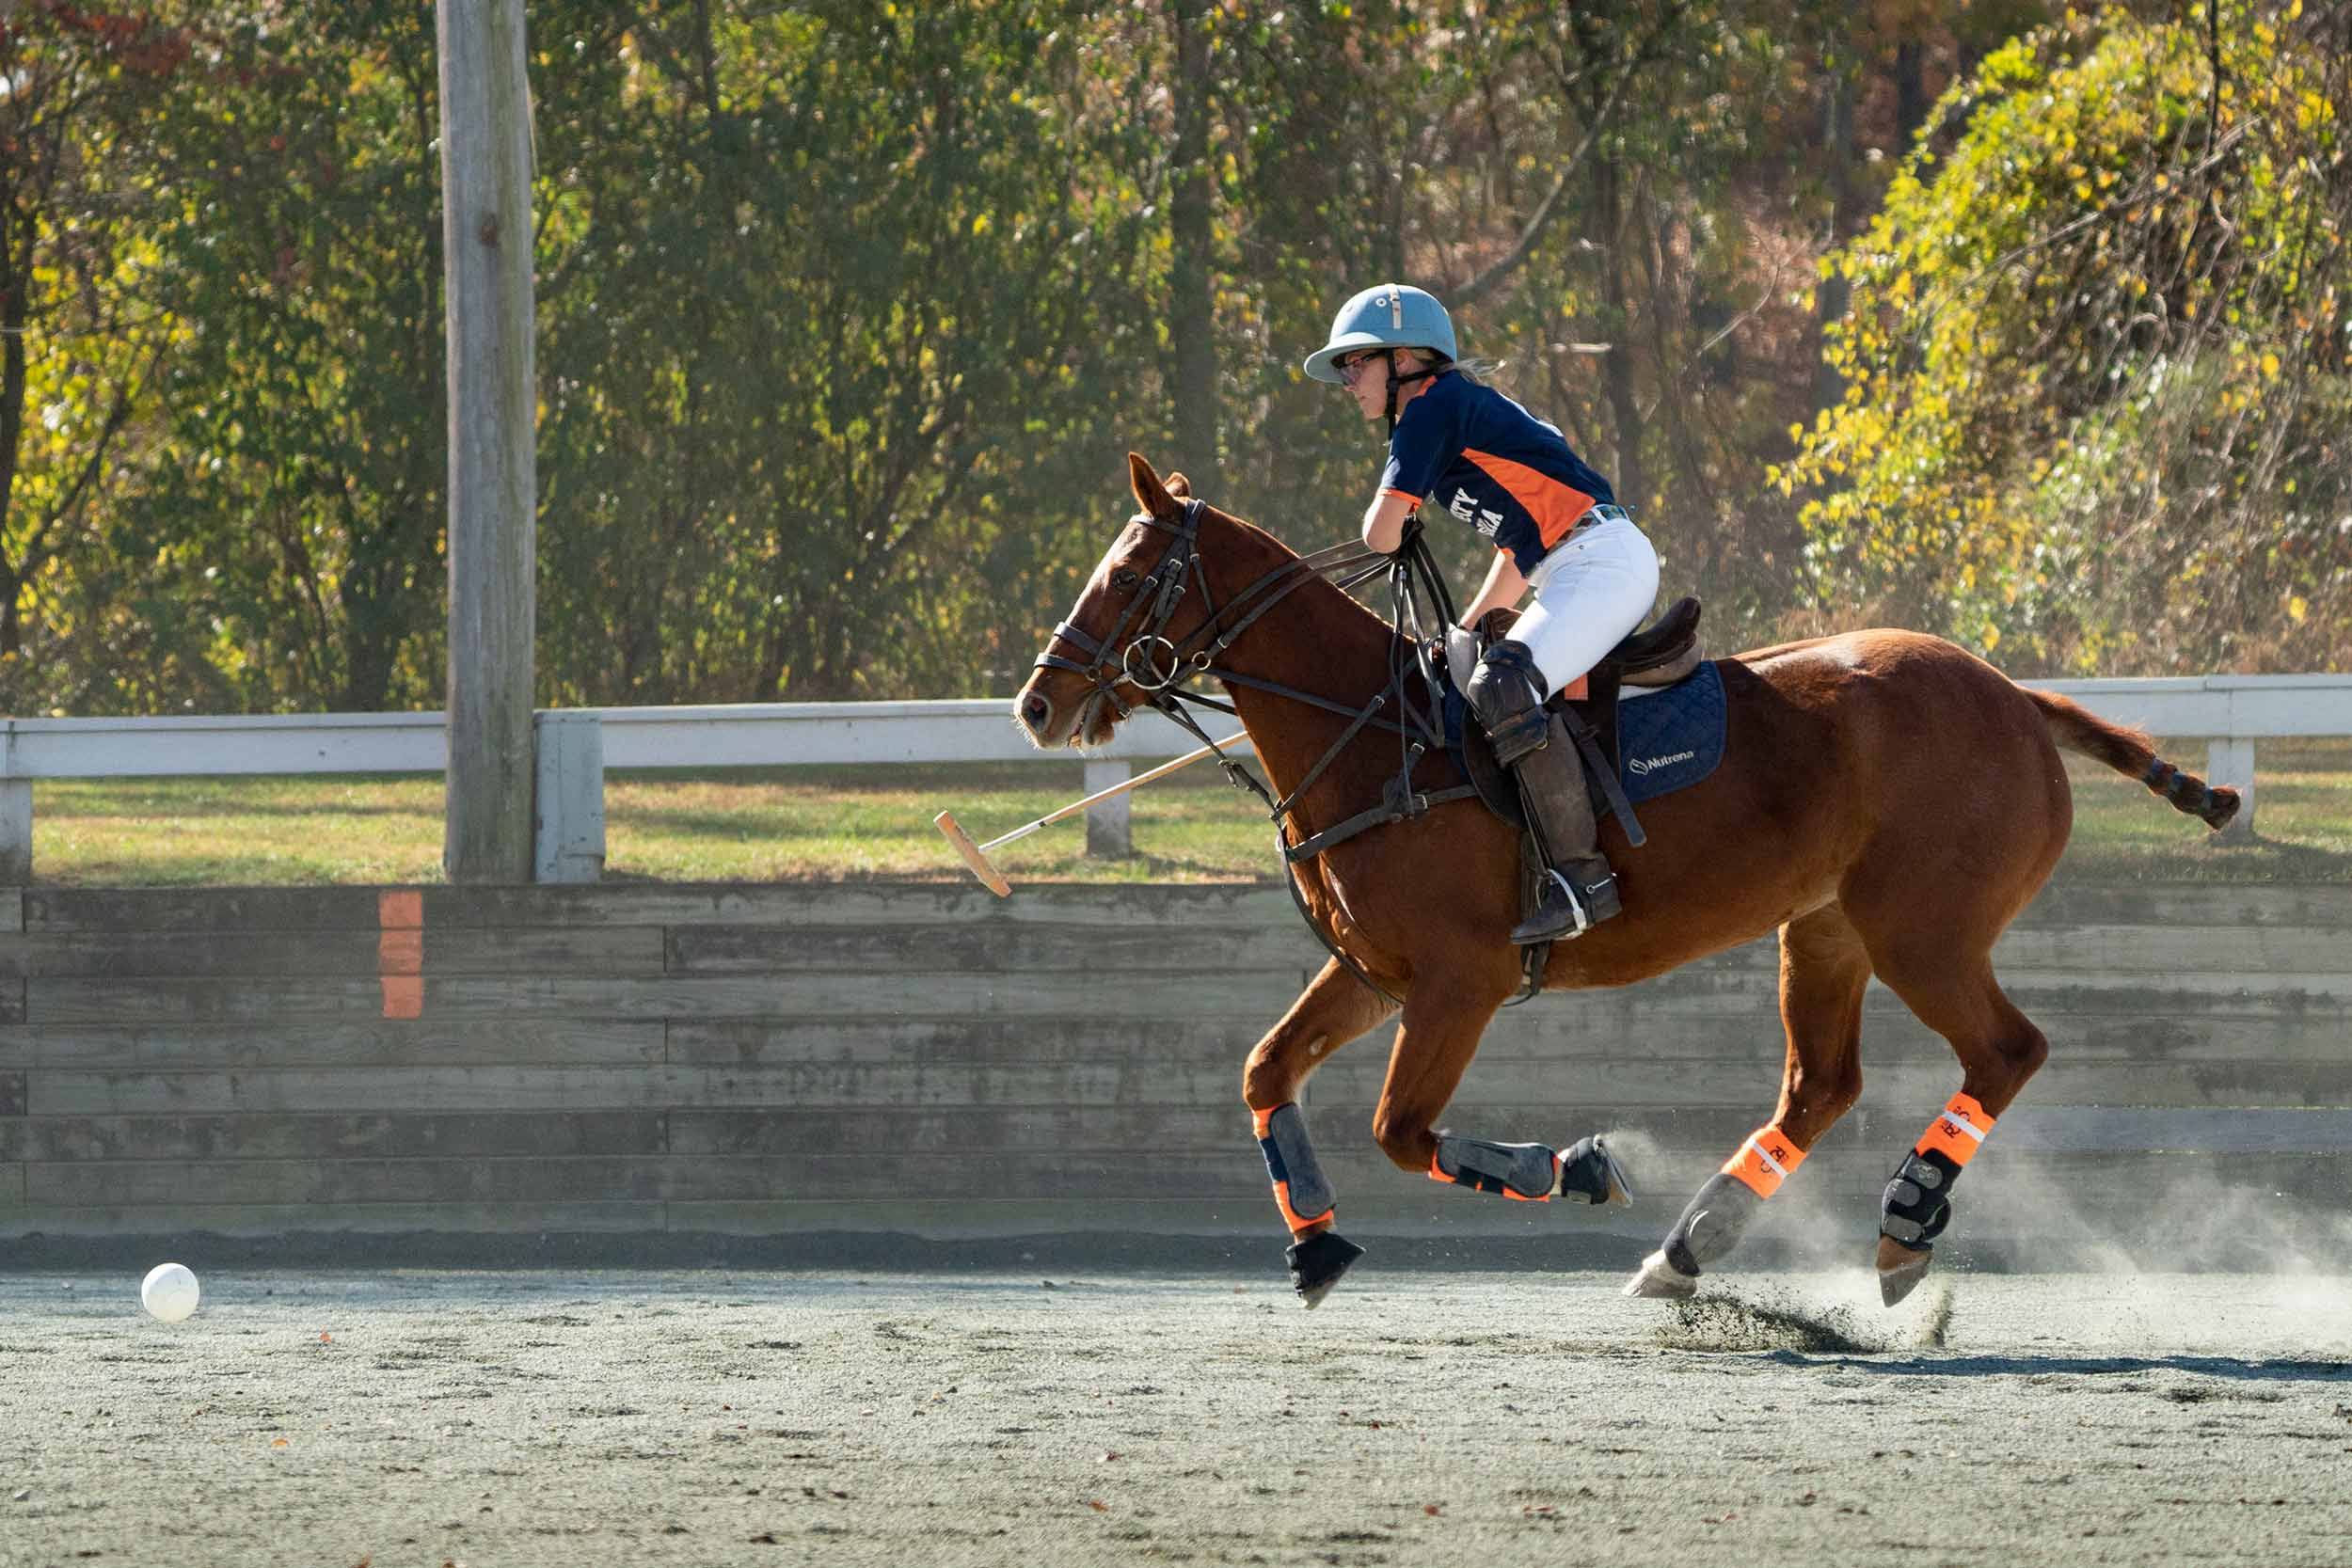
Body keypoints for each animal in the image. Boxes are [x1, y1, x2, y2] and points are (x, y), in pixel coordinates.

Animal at [1016, 455, 2239, 1316]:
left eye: (1130, 574)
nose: (1036, 703)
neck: (1368, 736)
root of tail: (2020, 697)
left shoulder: (1459, 980)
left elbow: (1402, 1128)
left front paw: (1583, 1165)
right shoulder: (1372, 971)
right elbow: (1266, 1069)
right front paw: (1313, 1245)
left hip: (1923, 929)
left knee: (2006, 1050)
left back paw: (1899, 1226)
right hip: (1825, 928)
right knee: (1821, 1084)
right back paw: (1688, 1249)